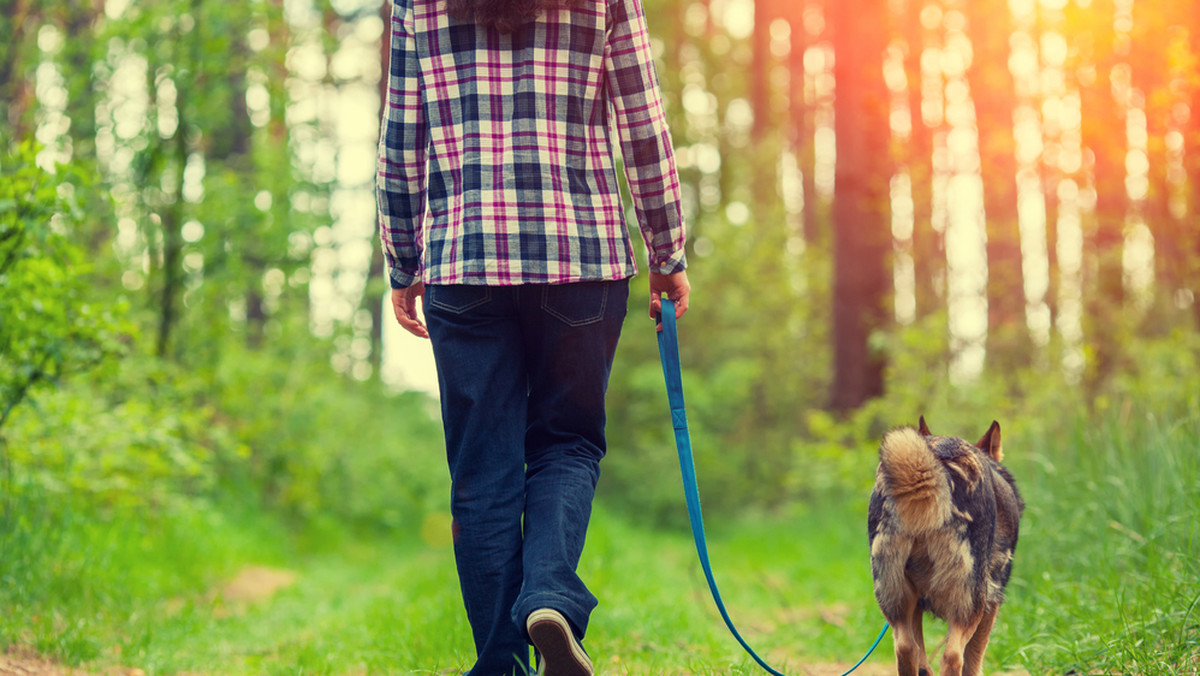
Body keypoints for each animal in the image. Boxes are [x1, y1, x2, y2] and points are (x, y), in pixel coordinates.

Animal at [868, 417, 1027, 676]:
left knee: (906, 649)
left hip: (895, 600)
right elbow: (973, 660)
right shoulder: (990, 603)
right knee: (952, 657)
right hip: (969, 603)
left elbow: (921, 655)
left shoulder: (916, 604)